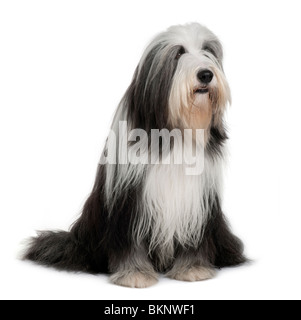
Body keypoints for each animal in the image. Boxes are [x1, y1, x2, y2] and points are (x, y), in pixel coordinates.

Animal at [24, 22, 246, 288]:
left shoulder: (195, 202)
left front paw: (193, 268)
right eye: (179, 53)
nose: (205, 74)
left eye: (207, 51)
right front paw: (135, 274)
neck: (174, 132)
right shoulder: (130, 200)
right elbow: (131, 243)